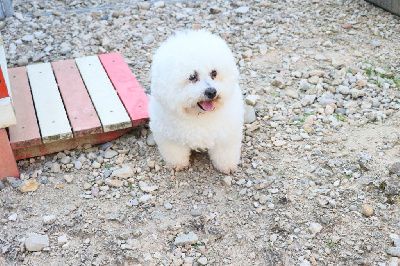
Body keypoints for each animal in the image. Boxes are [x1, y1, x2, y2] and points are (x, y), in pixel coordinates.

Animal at [148, 29, 244, 175]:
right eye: (192, 77)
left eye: (214, 73)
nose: (211, 92)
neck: (199, 116)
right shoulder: (169, 136)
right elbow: (175, 152)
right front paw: (178, 164)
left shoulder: (226, 134)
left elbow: (225, 152)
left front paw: (226, 166)